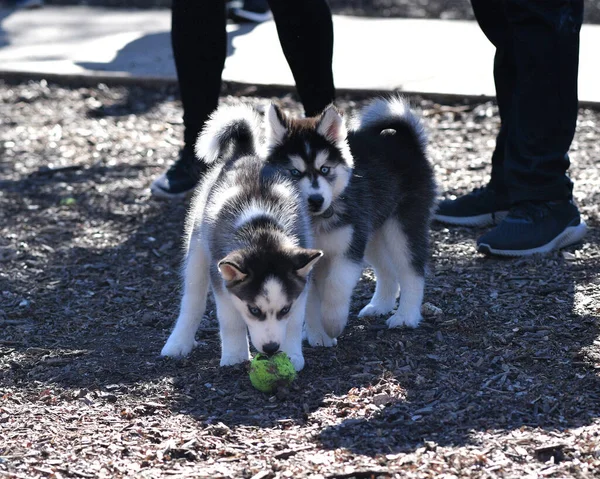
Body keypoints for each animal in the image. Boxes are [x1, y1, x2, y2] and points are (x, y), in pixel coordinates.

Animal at [161, 105, 324, 372]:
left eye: (285, 309)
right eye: (254, 310)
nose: (272, 348)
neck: (262, 230)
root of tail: (244, 153)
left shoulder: (301, 285)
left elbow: (293, 322)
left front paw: (292, 355)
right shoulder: (221, 279)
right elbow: (231, 321)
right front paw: (235, 356)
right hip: (198, 247)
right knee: (192, 301)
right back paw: (178, 342)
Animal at [262, 97, 436, 346]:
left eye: (325, 169)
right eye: (294, 172)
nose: (316, 200)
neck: (316, 221)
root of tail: (404, 141)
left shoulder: (348, 252)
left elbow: (336, 286)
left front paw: (333, 323)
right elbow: (311, 301)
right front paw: (317, 335)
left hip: (400, 228)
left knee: (412, 271)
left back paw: (406, 316)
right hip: (372, 233)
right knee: (387, 270)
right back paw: (379, 305)